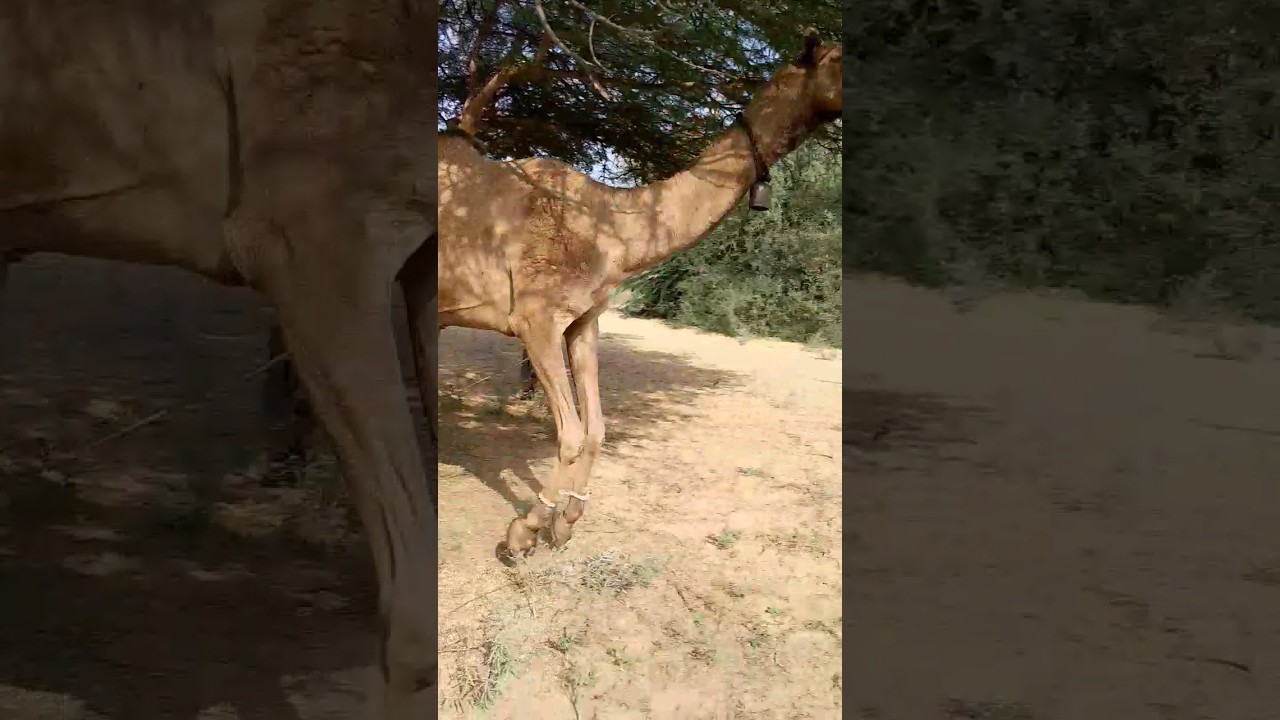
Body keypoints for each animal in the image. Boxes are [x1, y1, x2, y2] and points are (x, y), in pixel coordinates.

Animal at [437, 29, 843, 555]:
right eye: (840, 60)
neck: (612, 228)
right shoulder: (535, 318)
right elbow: (571, 434)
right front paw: (525, 530)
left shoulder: (584, 320)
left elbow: (596, 429)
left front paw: (566, 522)